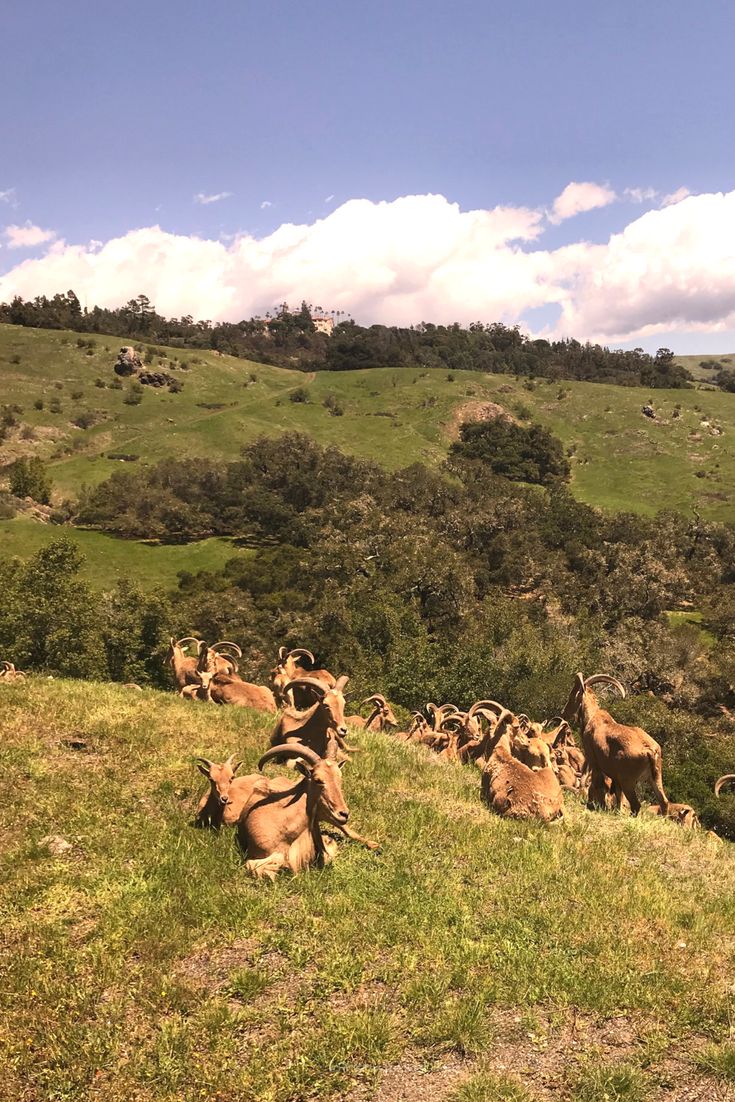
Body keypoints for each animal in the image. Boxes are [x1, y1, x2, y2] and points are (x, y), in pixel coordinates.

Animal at [559, 665, 669, 815]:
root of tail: (650, 751)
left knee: (636, 805)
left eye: (571, 696)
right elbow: (617, 793)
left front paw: (600, 805)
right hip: (655, 777)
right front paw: (617, 810)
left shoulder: (594, 760)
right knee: (664, 802)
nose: (563, 713)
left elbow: (599, 783)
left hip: (627, 780)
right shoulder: (615, 777)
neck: (591, 717)